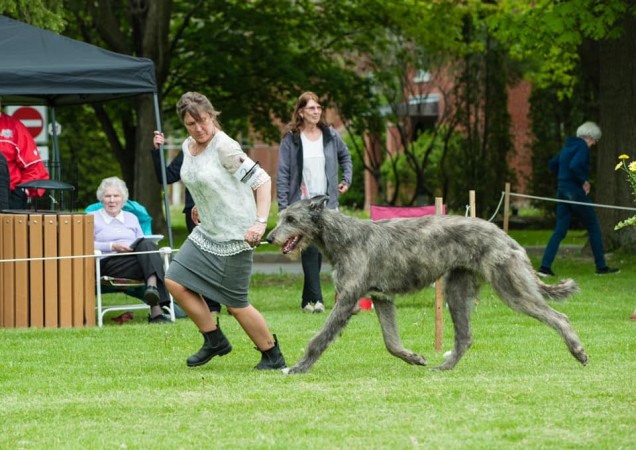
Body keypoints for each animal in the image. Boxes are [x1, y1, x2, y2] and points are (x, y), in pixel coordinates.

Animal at [266, 195, 588, 374]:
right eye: (280, 216)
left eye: (291, 218)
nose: (269, 237)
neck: (343, 236)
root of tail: (506, 236)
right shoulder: (381, 298)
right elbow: (391, 343)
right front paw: (413, 357)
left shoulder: (347, 300)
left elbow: (319, 338)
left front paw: (298, 367)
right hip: (456, 290)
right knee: (465, 337)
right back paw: (444, 366)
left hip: (510, 287)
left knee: (558, 316)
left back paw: (578, 351)